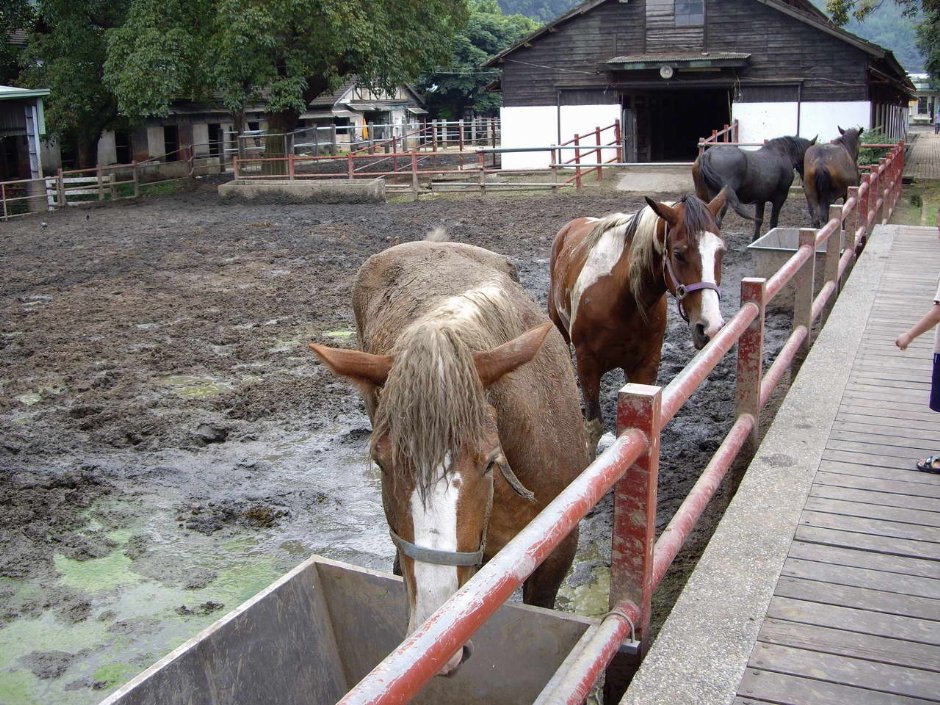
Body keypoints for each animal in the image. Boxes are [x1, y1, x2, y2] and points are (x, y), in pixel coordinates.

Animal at [548, 192, 727, 449]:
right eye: (678, 254)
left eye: (721, 252)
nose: (710, 326)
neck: (622, 299)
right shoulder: (587, 365)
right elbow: (593, 428)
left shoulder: (645, 365)